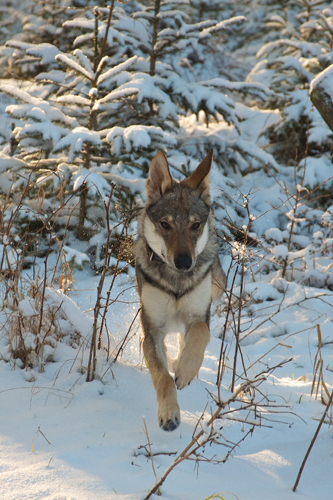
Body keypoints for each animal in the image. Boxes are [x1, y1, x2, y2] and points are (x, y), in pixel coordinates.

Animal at [134, 148, 224, 430]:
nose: (184, 262)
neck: (176, 282)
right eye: (166, 225)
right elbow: (162, 376)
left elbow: (200, 334)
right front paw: (169, 415)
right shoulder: (152, 330)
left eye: (195, 226)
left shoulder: (198, 316)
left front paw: (185, 371)